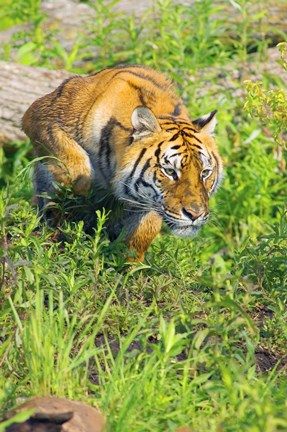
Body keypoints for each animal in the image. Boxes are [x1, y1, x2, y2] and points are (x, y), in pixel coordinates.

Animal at [23, 62, 225, 262]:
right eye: (170, 171)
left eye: (205, 172)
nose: (195, 214)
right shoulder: (40, 116)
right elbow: (78, 169)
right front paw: (70, 207)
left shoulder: (148, 202)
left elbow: (142, 234)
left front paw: (128, 264)